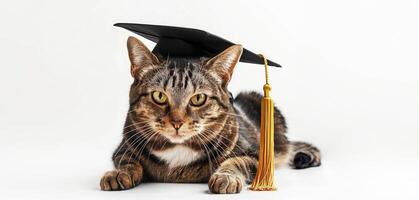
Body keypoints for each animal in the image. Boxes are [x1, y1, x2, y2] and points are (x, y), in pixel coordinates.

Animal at [99, 36, 322, 194]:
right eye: (159, 96)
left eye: (198, 98)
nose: (177, 122)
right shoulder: (123, 148)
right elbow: (128, 161)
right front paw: (118, 174)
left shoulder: (255, 156)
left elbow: (236, 162)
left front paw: (226, 177)